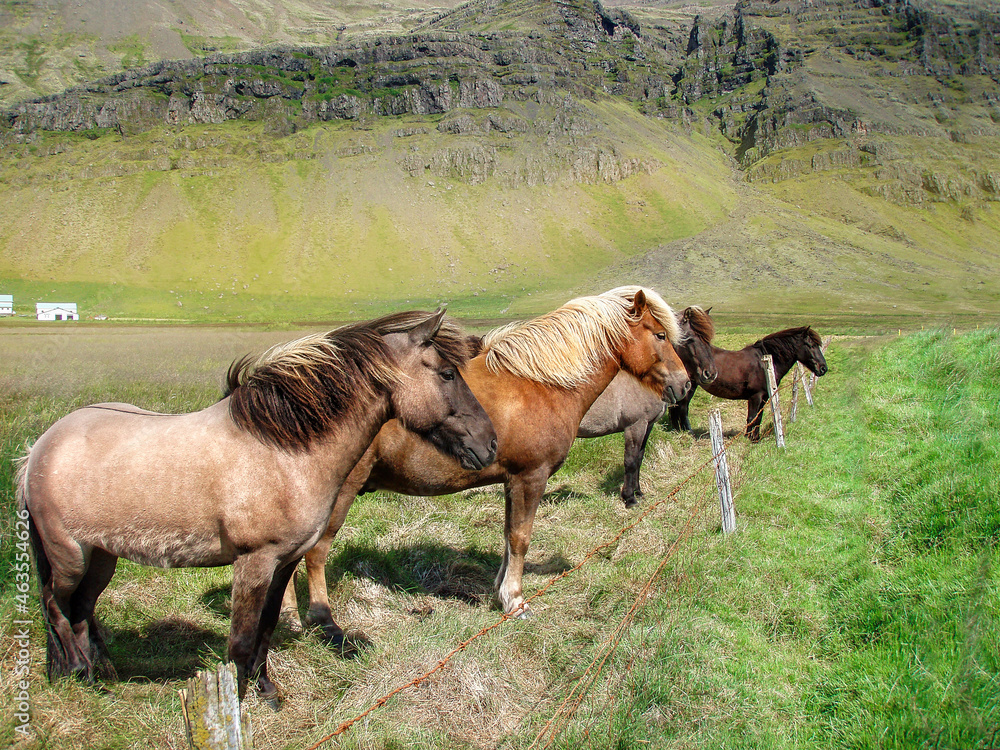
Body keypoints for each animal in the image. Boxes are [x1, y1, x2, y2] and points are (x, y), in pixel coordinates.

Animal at [17, 310, 497, 699]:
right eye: (447, 374)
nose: (490, 444)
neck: (281, 451)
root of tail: (38, 449)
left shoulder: (286, 560)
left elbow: (265, 627)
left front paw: (266, 689)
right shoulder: (253, 562)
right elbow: (241, 639)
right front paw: (240, 701)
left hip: (102, 557)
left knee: (81, 609)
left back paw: (101, 675)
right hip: (69, 556)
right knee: (54, 604)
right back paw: (77, 672)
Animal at [280, 287, 691, 641]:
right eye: (659, 335)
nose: (684, 384)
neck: (540, 384)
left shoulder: (512, 481)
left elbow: (509, 538)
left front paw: (501, 593)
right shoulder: (531, 478)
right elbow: (521, 538)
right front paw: (516, 602)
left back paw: (289, 622)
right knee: (313, 555)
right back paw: (321, 624)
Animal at [576, 306, 718, 507]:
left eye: (708, 339)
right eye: (690, 339)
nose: (710, 374)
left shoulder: (648, 425)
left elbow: (640, 457)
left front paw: (638, 492)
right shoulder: (635, 426)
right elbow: (630, 460)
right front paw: (629, 498)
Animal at [667, 325, 829, 441]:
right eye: (810, 345)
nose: (823, 368)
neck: (763, 363)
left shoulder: (764, 397)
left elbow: (758, 418)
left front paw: (755, 438)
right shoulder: (755, 396)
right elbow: (751, 417)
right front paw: (748, 438)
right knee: (682, 408)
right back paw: (687, 433)